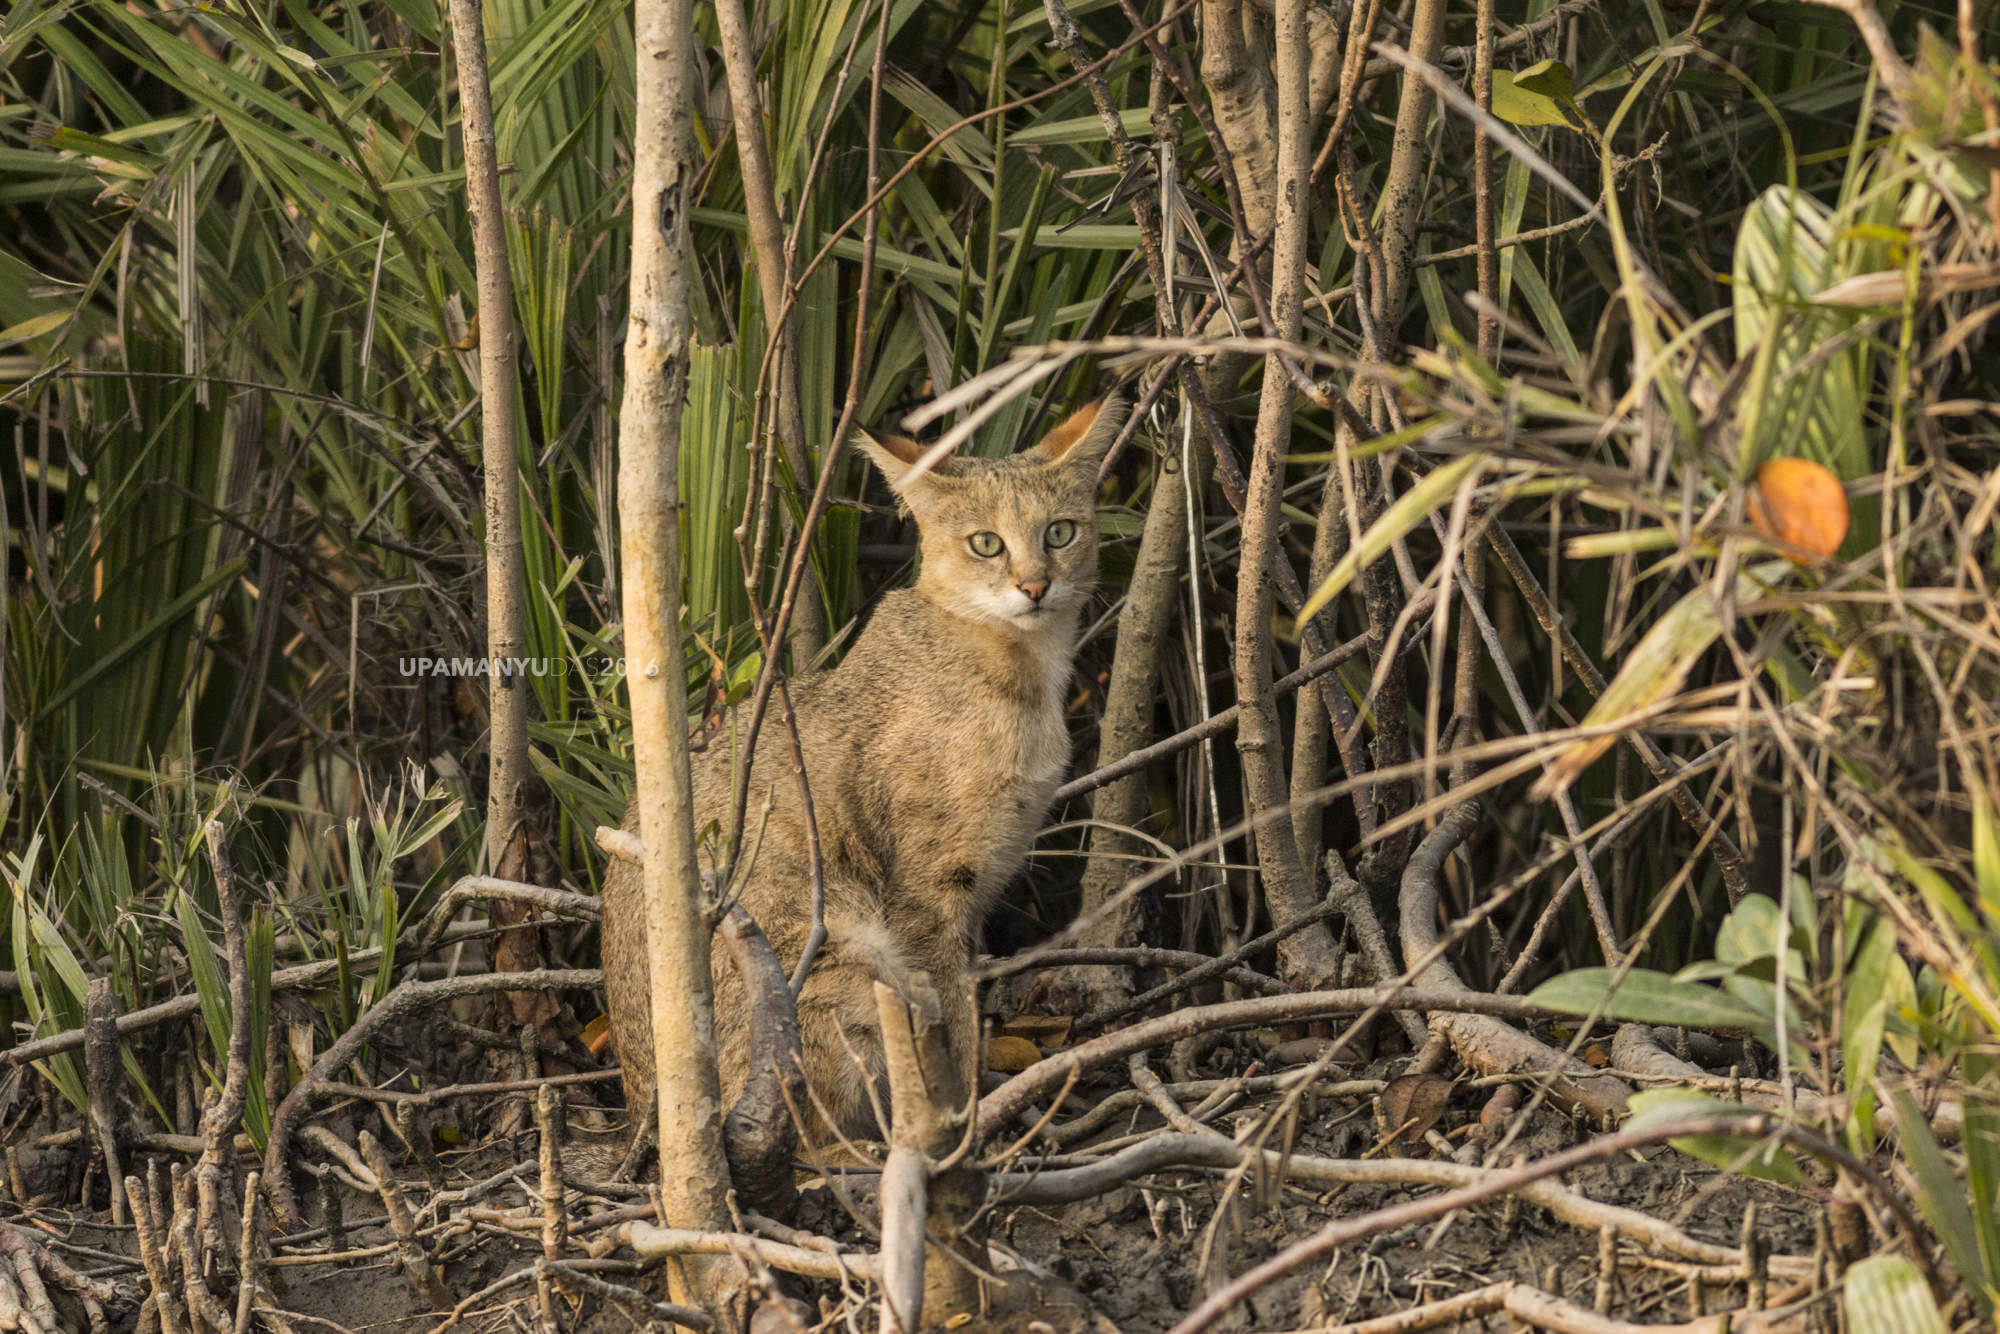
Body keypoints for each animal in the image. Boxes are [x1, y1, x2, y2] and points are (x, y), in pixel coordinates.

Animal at [592, 394, 1128, 1136]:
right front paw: (961, 1114)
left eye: (1059, 532)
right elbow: (947, 1010)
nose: (1035, 585)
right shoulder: (927, 888)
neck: (1020, 673)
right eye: (985, 543)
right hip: (836, 954)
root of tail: (642, 1105)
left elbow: (962, 996)